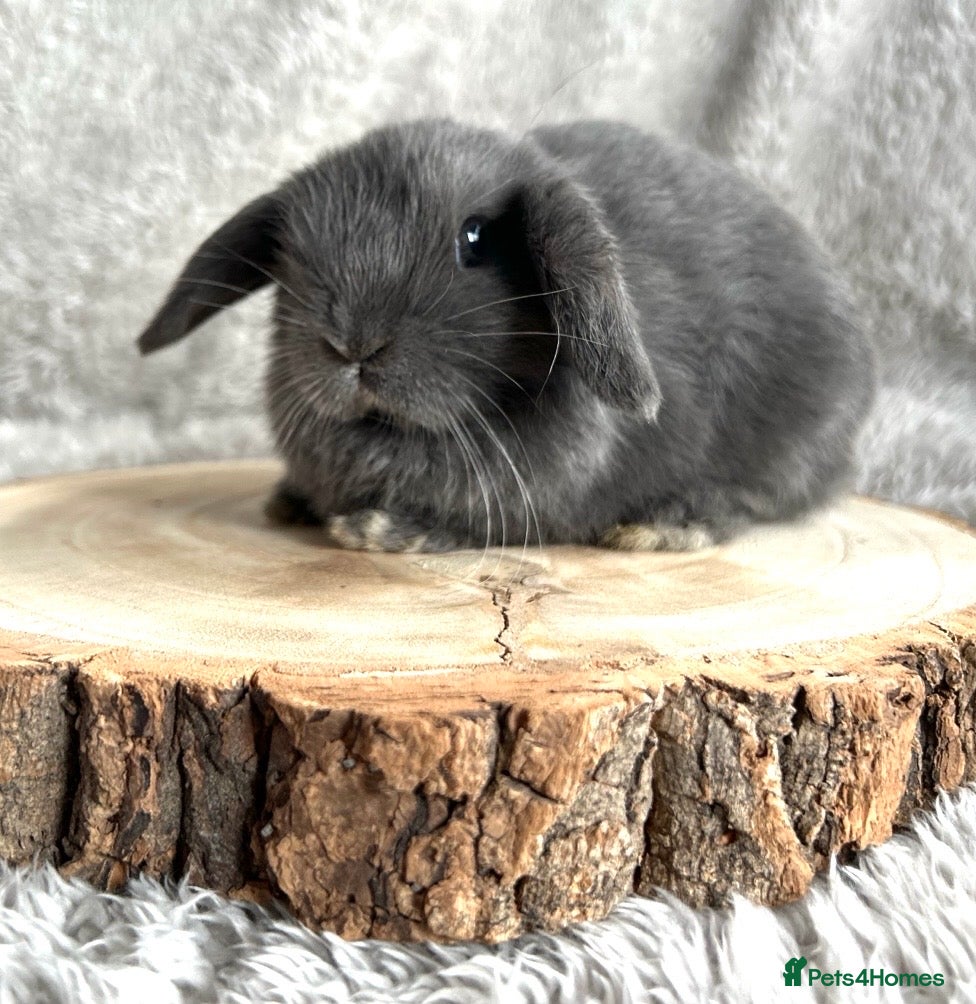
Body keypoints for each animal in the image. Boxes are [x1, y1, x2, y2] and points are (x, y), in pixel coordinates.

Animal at [137, 118, 875, 553]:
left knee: (760, 500)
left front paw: (381, 529)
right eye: (292, 252)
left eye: (475, 240)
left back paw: (665, 525)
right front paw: (291, 501)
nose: (351, 346)